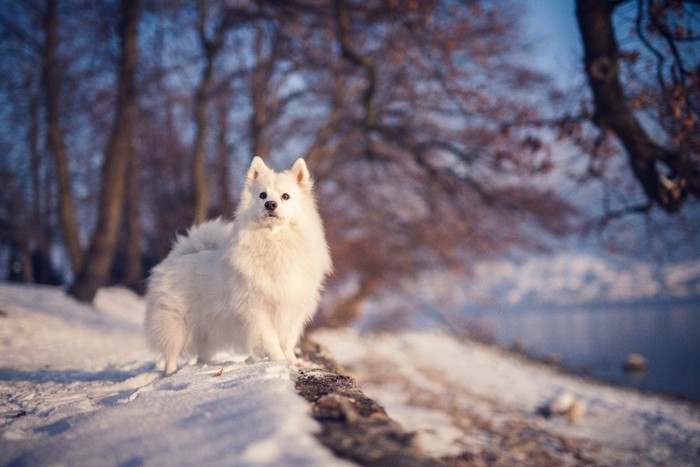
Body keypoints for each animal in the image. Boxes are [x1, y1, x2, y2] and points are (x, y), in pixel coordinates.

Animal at [144, 158, 330, 376]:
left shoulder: (292, 308)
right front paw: (280, 361)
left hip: (207, 327)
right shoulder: (257, 310)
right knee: (171, 354)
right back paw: (172, 374)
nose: (270, 204)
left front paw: (294, 362)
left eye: (286, 196)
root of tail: (178, 256)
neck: (274, 241)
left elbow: (287, 341)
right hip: (176, 324)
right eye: (262, 195)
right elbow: (272, 340)